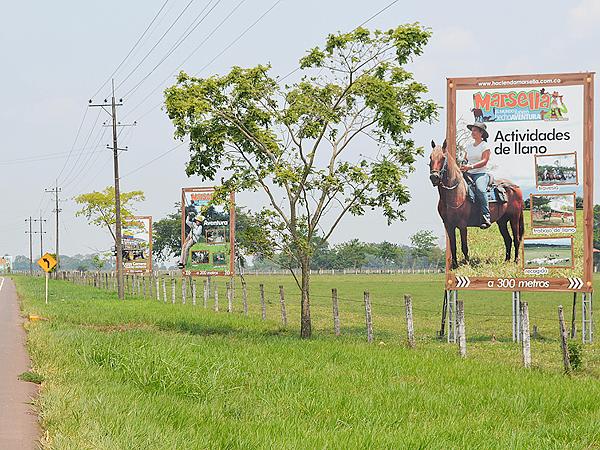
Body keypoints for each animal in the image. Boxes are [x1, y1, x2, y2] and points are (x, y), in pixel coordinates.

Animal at [428, 139, 524, 268]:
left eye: (443, 158)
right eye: (430, 157)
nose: (434, 177)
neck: (456, 192)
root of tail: (515, 187)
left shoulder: (462, 224)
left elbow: (464, 246)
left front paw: (467, 264)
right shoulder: (448, 225)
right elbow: (453, 246)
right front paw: (455, 265)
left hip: (514, 218)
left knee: (516, 239)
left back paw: (516, 261)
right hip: (502, 221)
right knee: (507, 239)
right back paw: (506, 260)